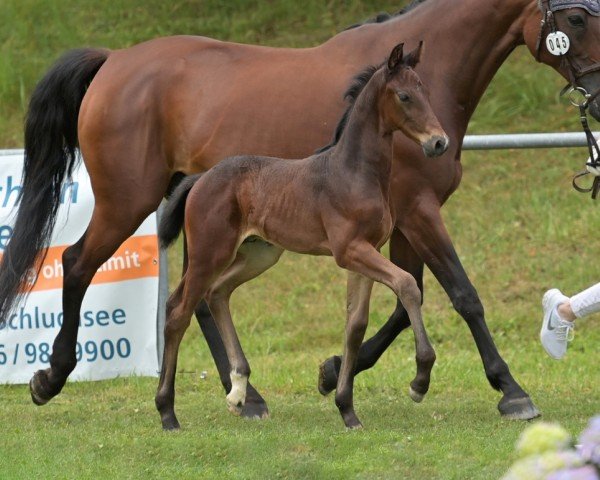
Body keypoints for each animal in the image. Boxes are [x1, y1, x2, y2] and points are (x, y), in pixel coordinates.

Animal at [157, 43, 448, 430]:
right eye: (404, 96)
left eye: (426, 92)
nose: (439, 142)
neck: (354, 172)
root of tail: (200, 178)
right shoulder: (349, 250)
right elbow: (407, 285)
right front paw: (419, 381)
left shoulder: (366, 251)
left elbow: (355, 324)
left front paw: (346, 408)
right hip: (210, 252)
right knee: (179, 311)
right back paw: (167, 412)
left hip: (259, 254)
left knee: (217, 293)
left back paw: (238, 393)